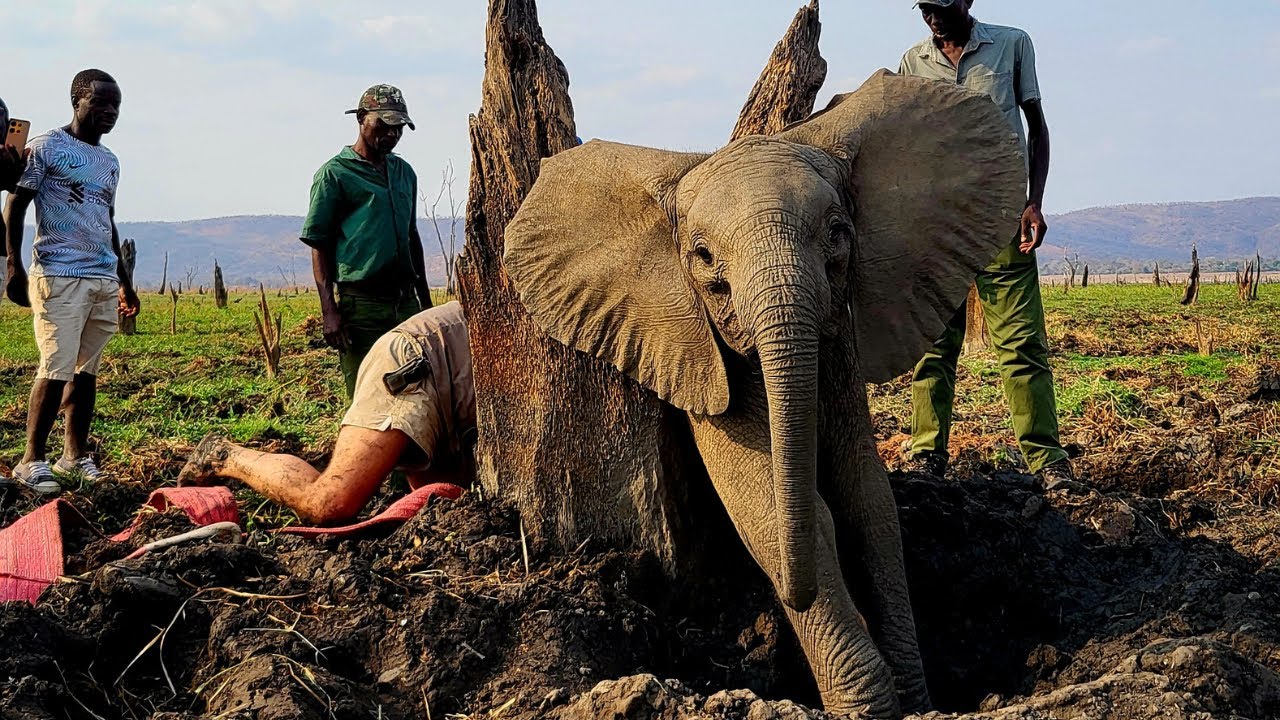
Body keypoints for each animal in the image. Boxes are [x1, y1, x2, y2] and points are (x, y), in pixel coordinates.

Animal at [502, 70, 1026, 719]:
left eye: (838, 234)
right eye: (703, 259)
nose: (792, 598)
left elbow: (868, 501)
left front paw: (912, 695)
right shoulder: (690, 348)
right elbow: (770, 504)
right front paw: (867, 705)